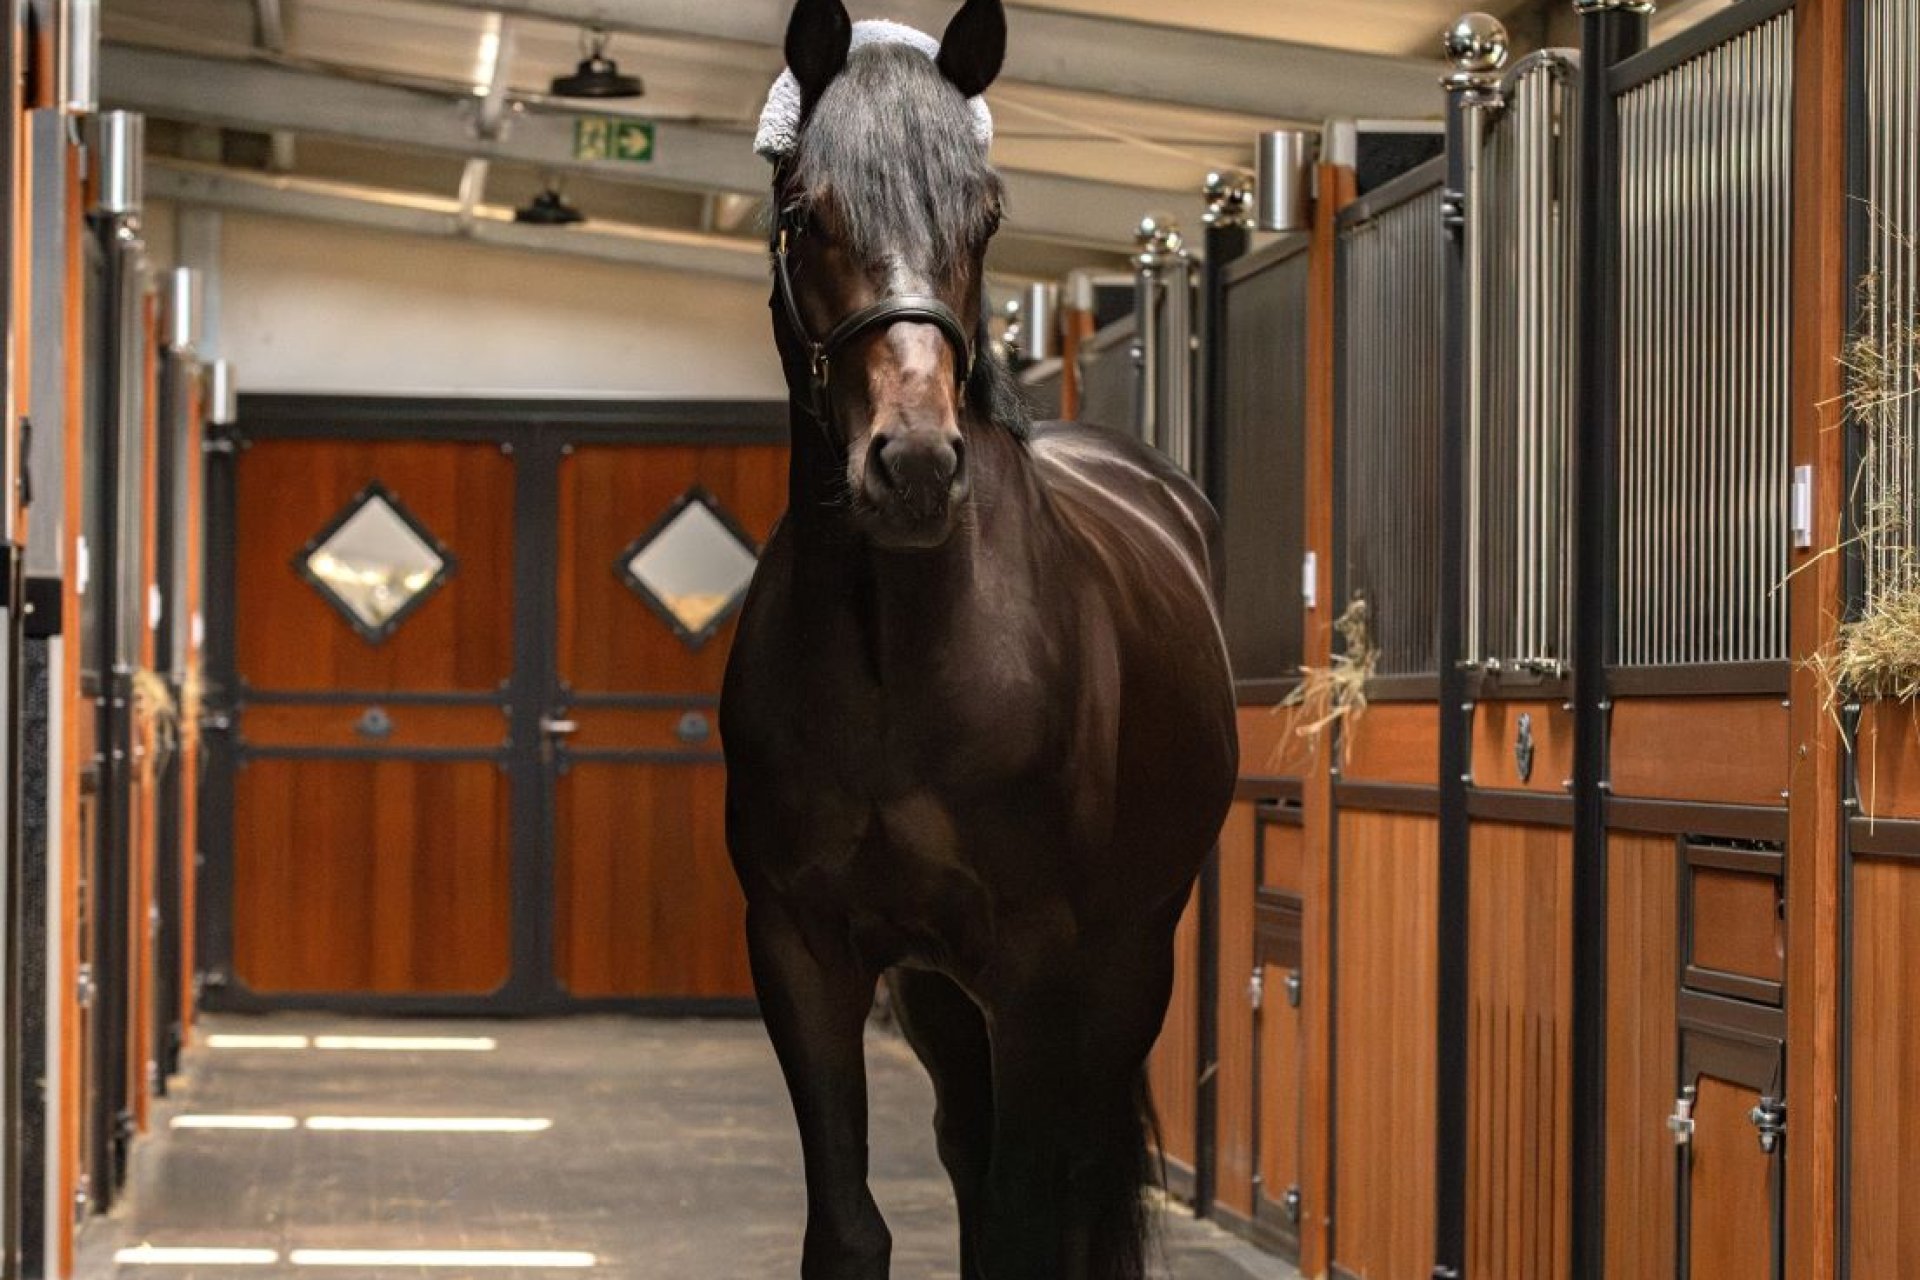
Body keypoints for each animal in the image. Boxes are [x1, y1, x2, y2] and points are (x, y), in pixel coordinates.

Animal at [720, 2, 1239, 1275]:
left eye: (985, 215)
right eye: (805, 209)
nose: (912, 465)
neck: (899, 665)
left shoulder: (1043, 963)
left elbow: (1026, 1212)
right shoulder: (806, 950)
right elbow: (851, 1222)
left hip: (1129, 958)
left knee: (1076, 1174)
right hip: (942, 992)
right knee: (970, 1146)